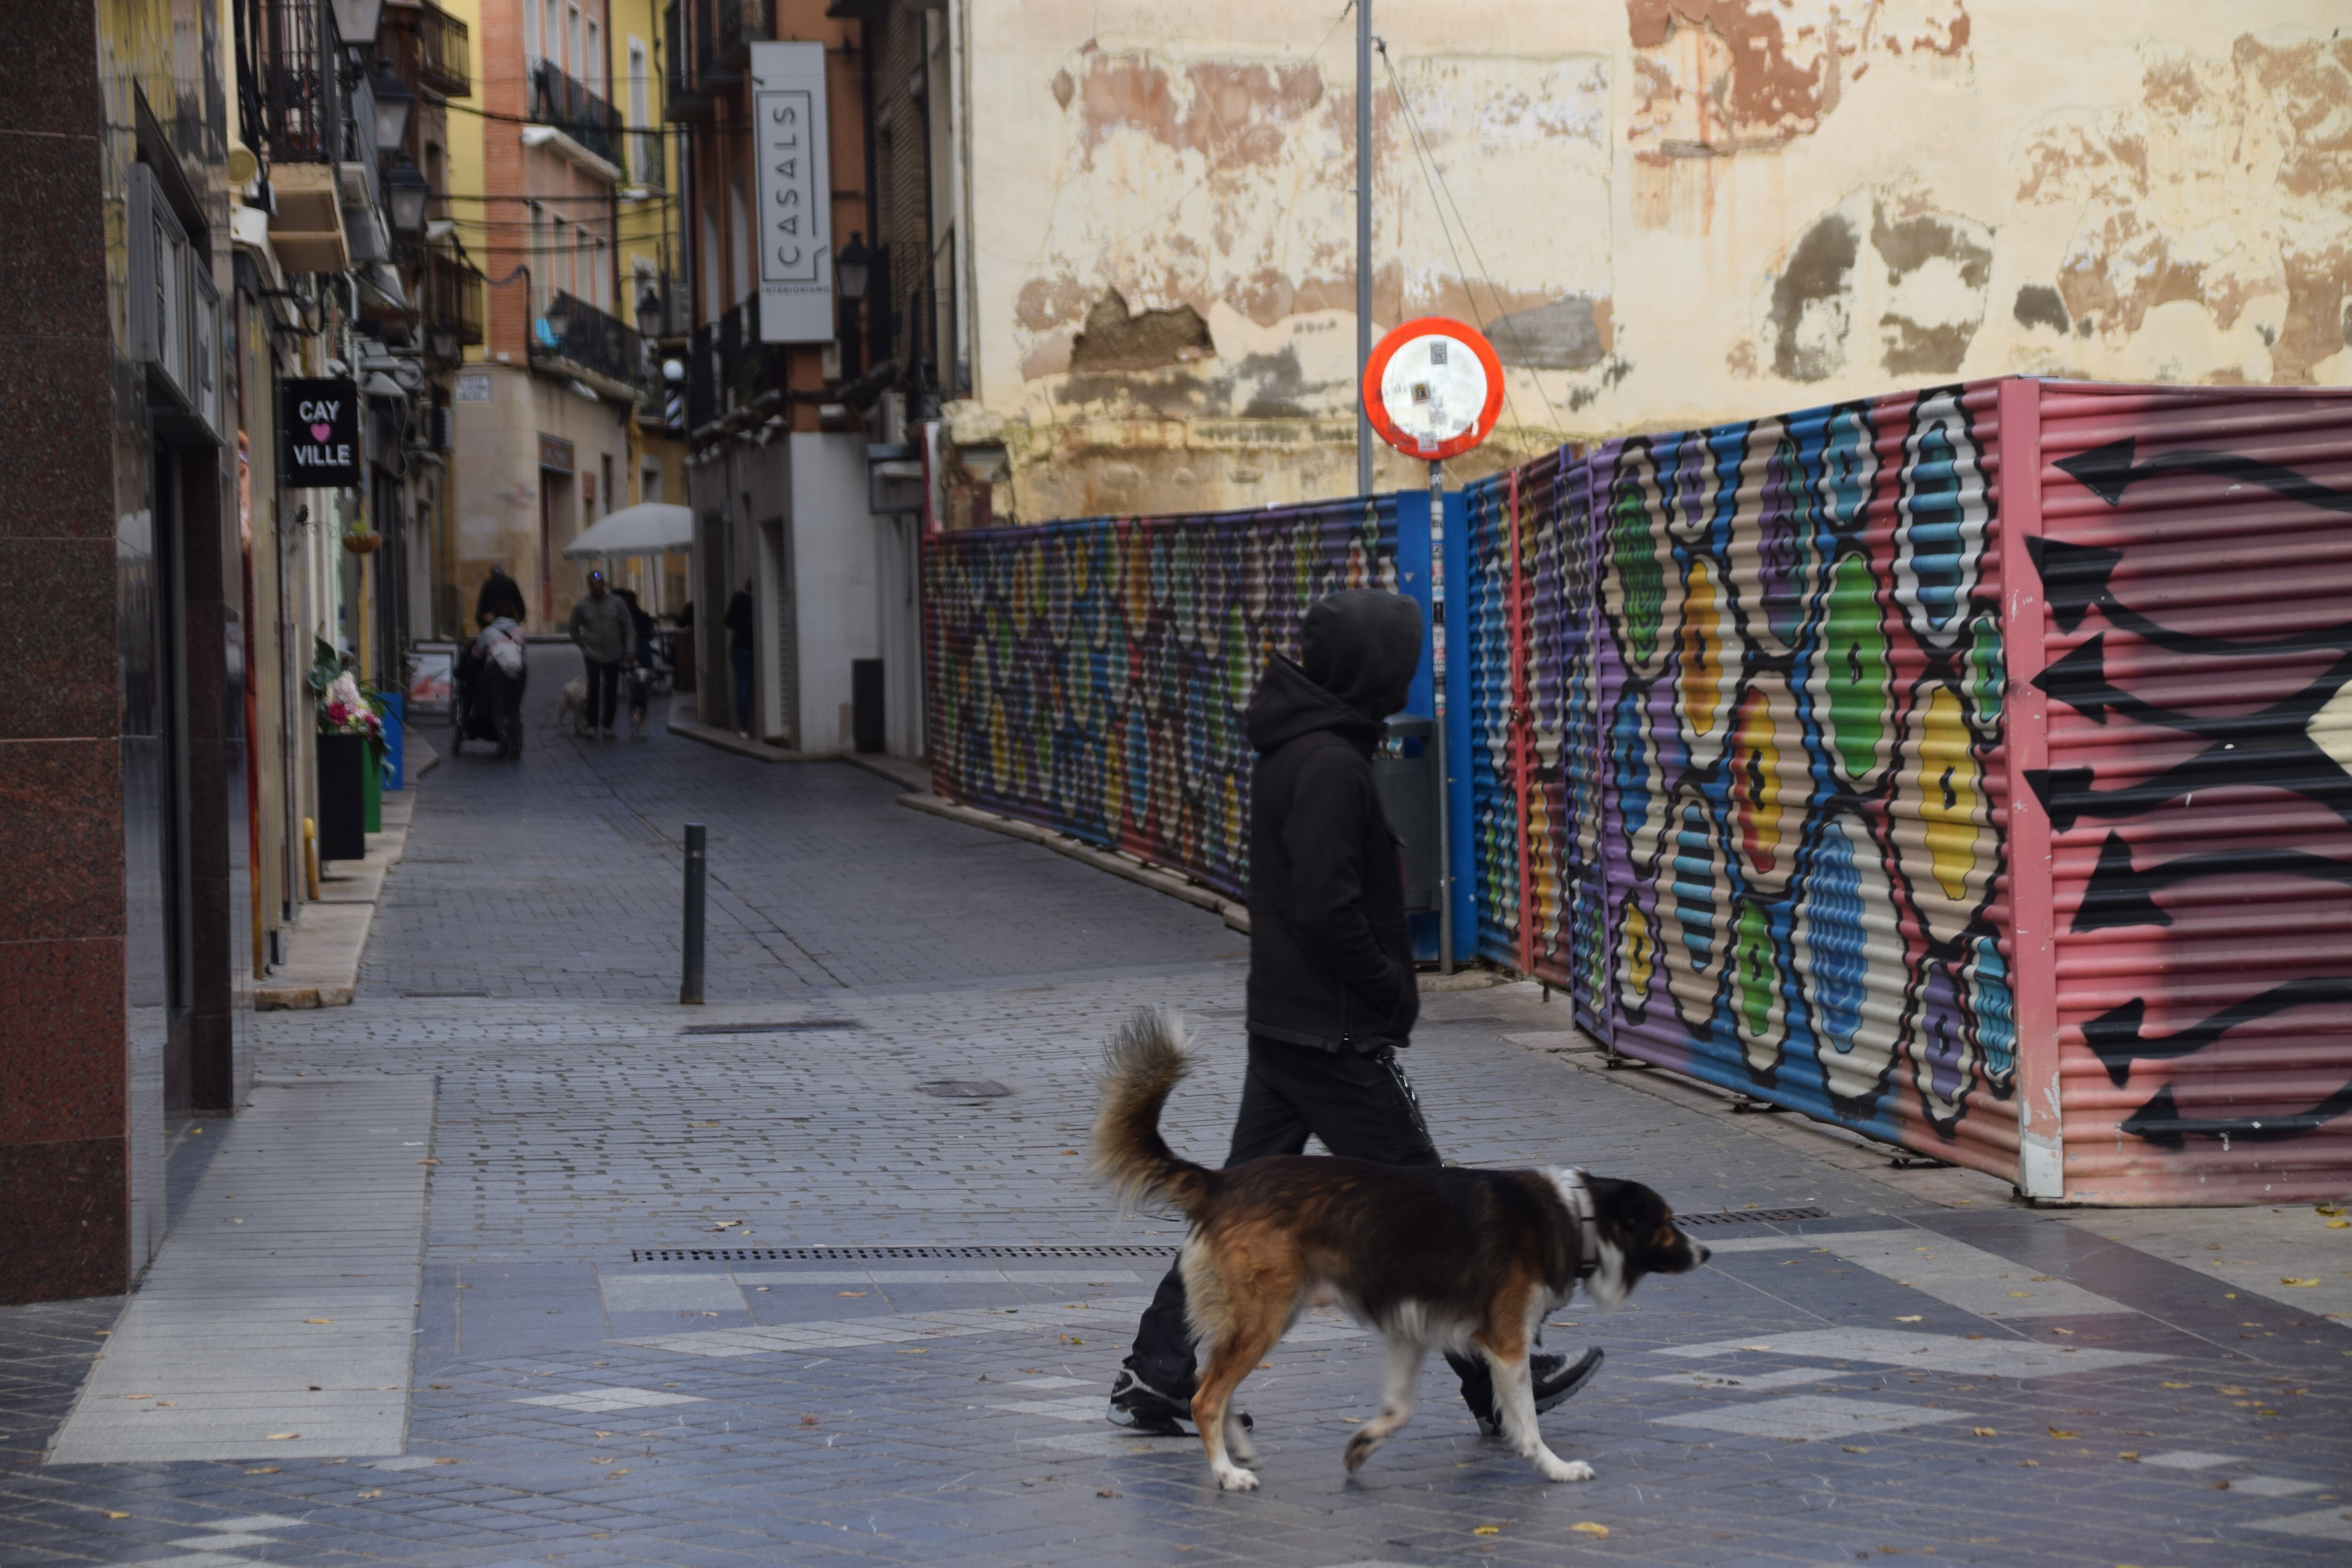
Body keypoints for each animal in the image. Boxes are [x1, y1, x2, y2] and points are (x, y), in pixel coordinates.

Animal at [1091, 1011, 1722, 1495]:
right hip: (1264, 1314)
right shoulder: (1503, 1341)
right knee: (1205, 1397)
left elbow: (1399, 1409)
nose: (1707, 1252)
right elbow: (1524, 1419)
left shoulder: (1413, 1328)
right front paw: (1554, 1467)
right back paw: (1226, 1472)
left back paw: (1235, 1445)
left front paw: (1362, 1446)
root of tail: (1222, 1182)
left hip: (1271, 1312)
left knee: (1214, 1385)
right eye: (1667, 1224)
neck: (1575, 1213)